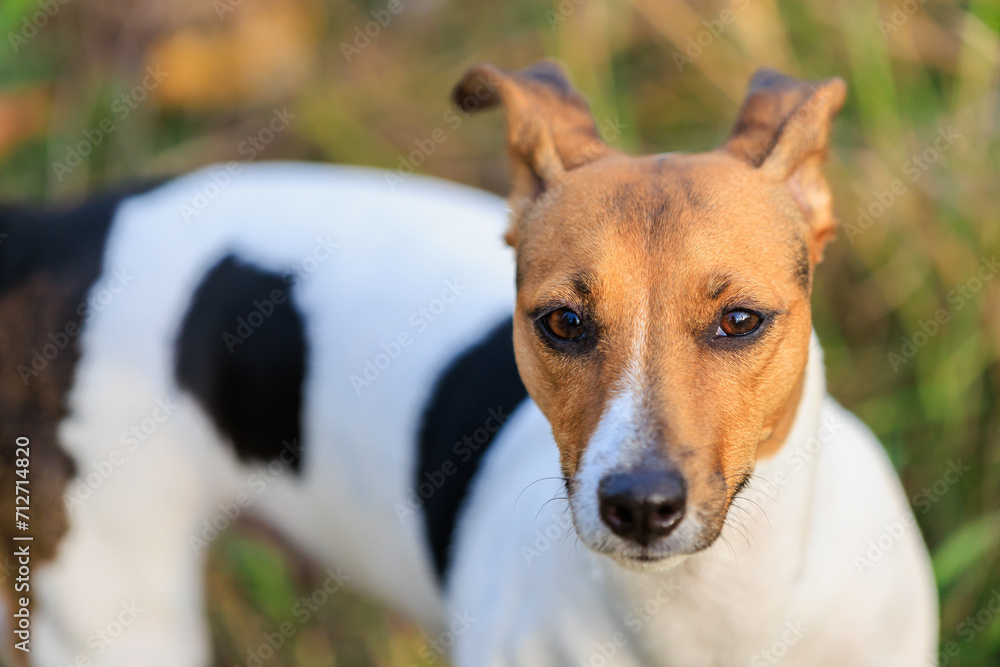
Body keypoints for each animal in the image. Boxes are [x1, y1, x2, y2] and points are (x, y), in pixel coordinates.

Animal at [1, 60, 936, 664]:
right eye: (561, 322)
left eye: (740, 320)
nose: (639, 505)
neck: (707, 620)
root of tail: (76, 225)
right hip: (117, 614)